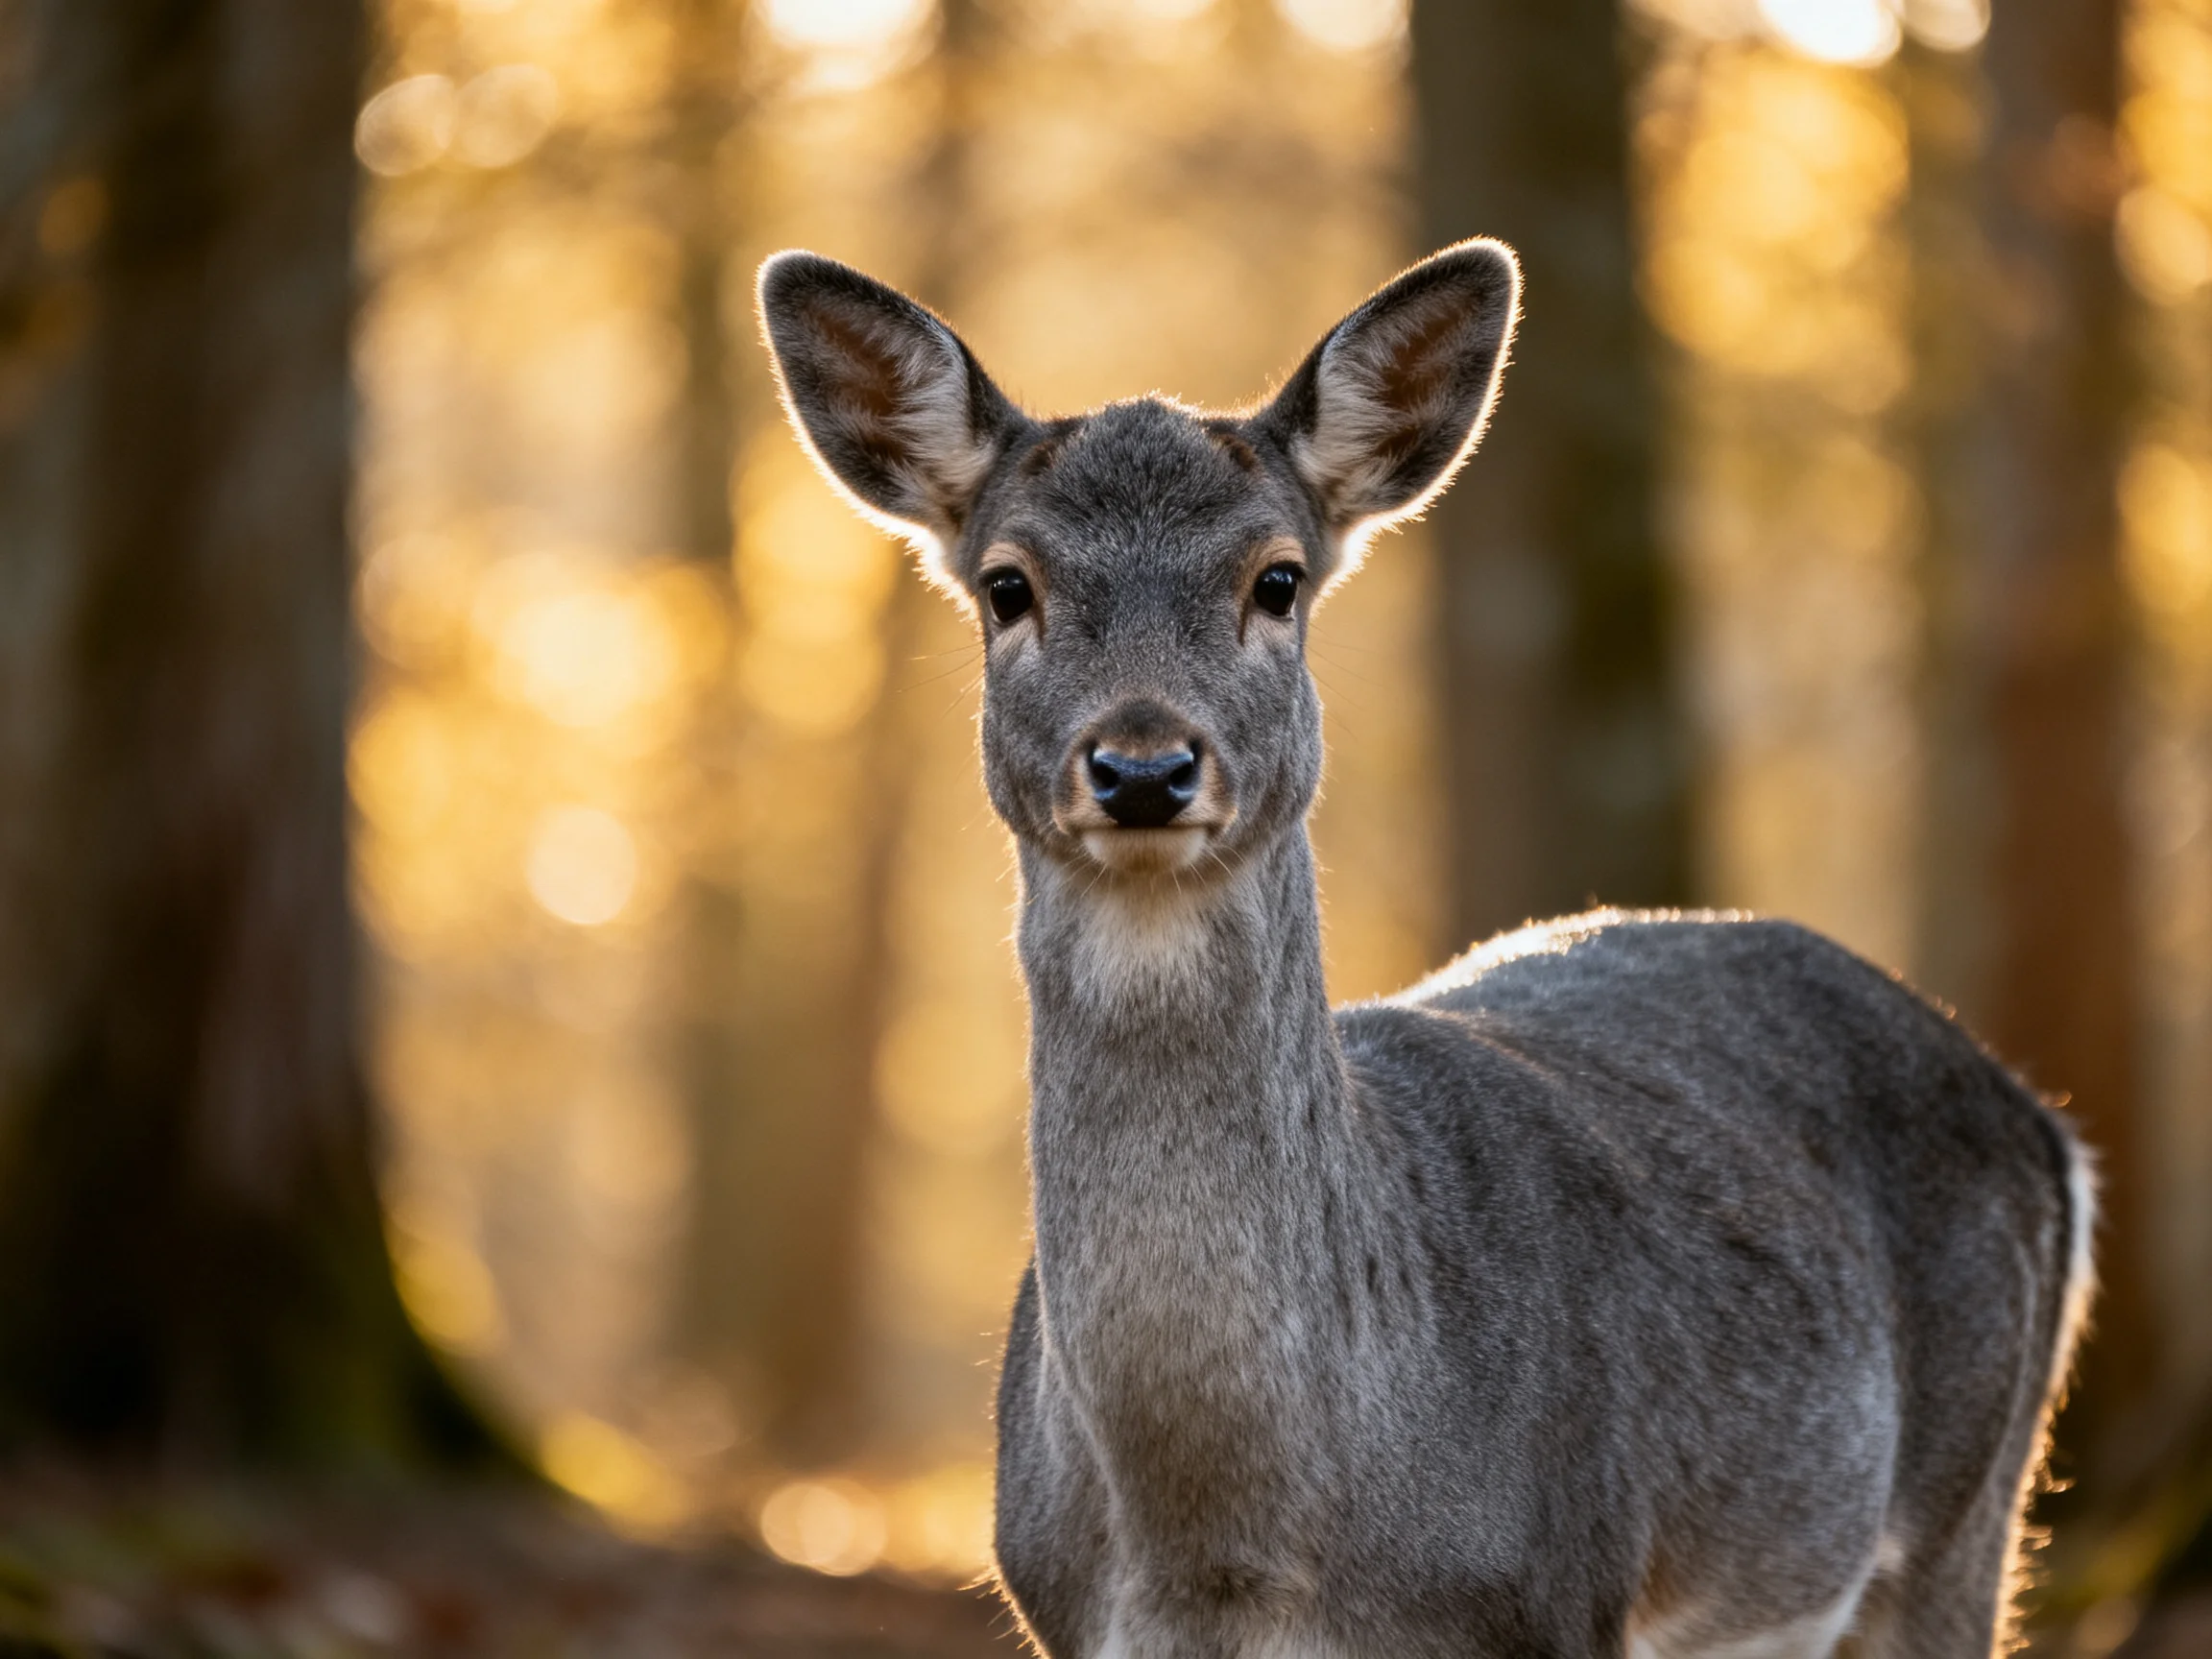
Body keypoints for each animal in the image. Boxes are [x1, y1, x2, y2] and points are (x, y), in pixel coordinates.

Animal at [757, 241, 2095, 1659]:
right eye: (1010, 585)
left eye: (1277, 579)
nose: (1144, 767)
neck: (1229, 1560)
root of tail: (2044, 1121)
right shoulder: (1063, 1614)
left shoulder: (1560, 1593)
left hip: (1963, 1513)